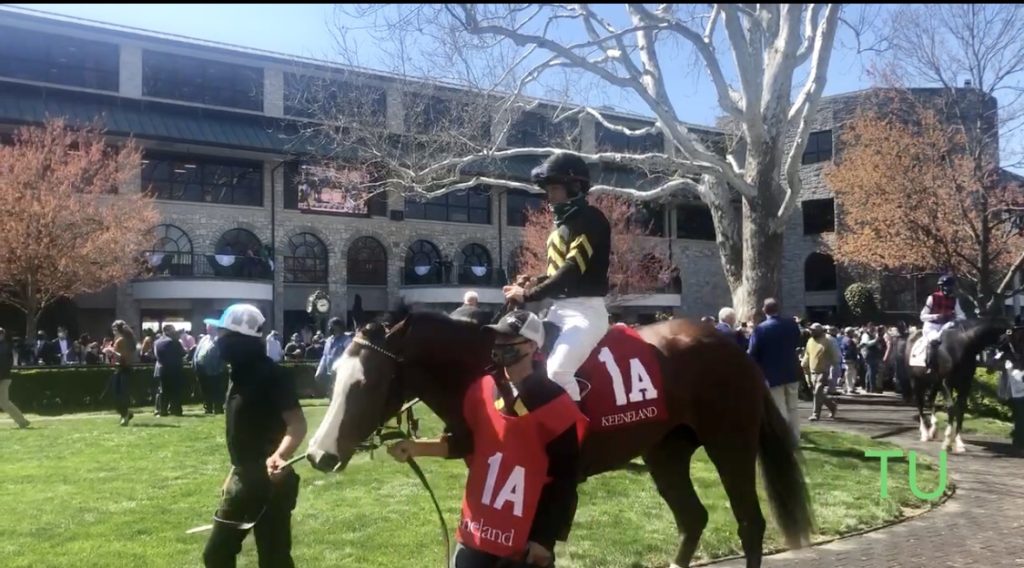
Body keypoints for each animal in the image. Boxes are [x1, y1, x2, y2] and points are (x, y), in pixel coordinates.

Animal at [301, 311, 806, 568]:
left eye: (366, 382)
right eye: (335, 376)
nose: (318, 455)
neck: (491, 373)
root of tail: (732, 346)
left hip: (730, 444)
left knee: (750, 524)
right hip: (665, 452)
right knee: (693, 519)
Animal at [909, 319, 1003, 454]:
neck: (961, 346)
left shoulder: (964, 385)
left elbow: (961, 410)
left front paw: (959, 443)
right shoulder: (946, 383)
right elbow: (951, 408)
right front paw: (947, 442)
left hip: (934, 383)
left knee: (930, 400)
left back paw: (933, 430)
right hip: (916, 382)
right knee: (920, 405)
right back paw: (925, 434)